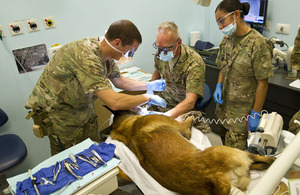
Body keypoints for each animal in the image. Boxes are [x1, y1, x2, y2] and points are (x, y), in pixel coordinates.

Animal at [104, 108, 276, 195]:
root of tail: (215, 179)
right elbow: (186, 119)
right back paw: (271, 160)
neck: (130, 129)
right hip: (233, 151)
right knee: (256, 158)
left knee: (256, 164)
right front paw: (193, 114)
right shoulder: (185, 130)